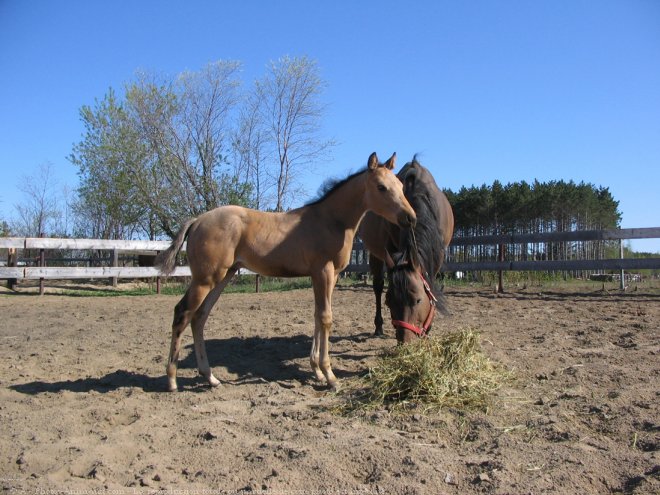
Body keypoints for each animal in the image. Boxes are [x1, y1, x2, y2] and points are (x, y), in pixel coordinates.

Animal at [155, 152, 416, 392]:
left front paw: (317, 371)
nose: (410, 218)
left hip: (222, 277)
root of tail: (197, 220)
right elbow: (326, 318)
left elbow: (318, 316)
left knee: (199, 317)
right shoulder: (323, 272)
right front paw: (330, 376)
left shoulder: (329, 276)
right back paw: (172, 380)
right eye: (381, 187)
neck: (332, 220)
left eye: (400, 186)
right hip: (204, 279)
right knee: (182, 313)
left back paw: (210, 377)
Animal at [356, 157, 454, 342]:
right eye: (389, 302)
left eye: (418, 300)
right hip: (375, 253)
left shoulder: (438, 255)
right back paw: (378, 326)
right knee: (378, 286)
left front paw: (428, 329)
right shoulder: (390, 249)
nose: (404, 341)